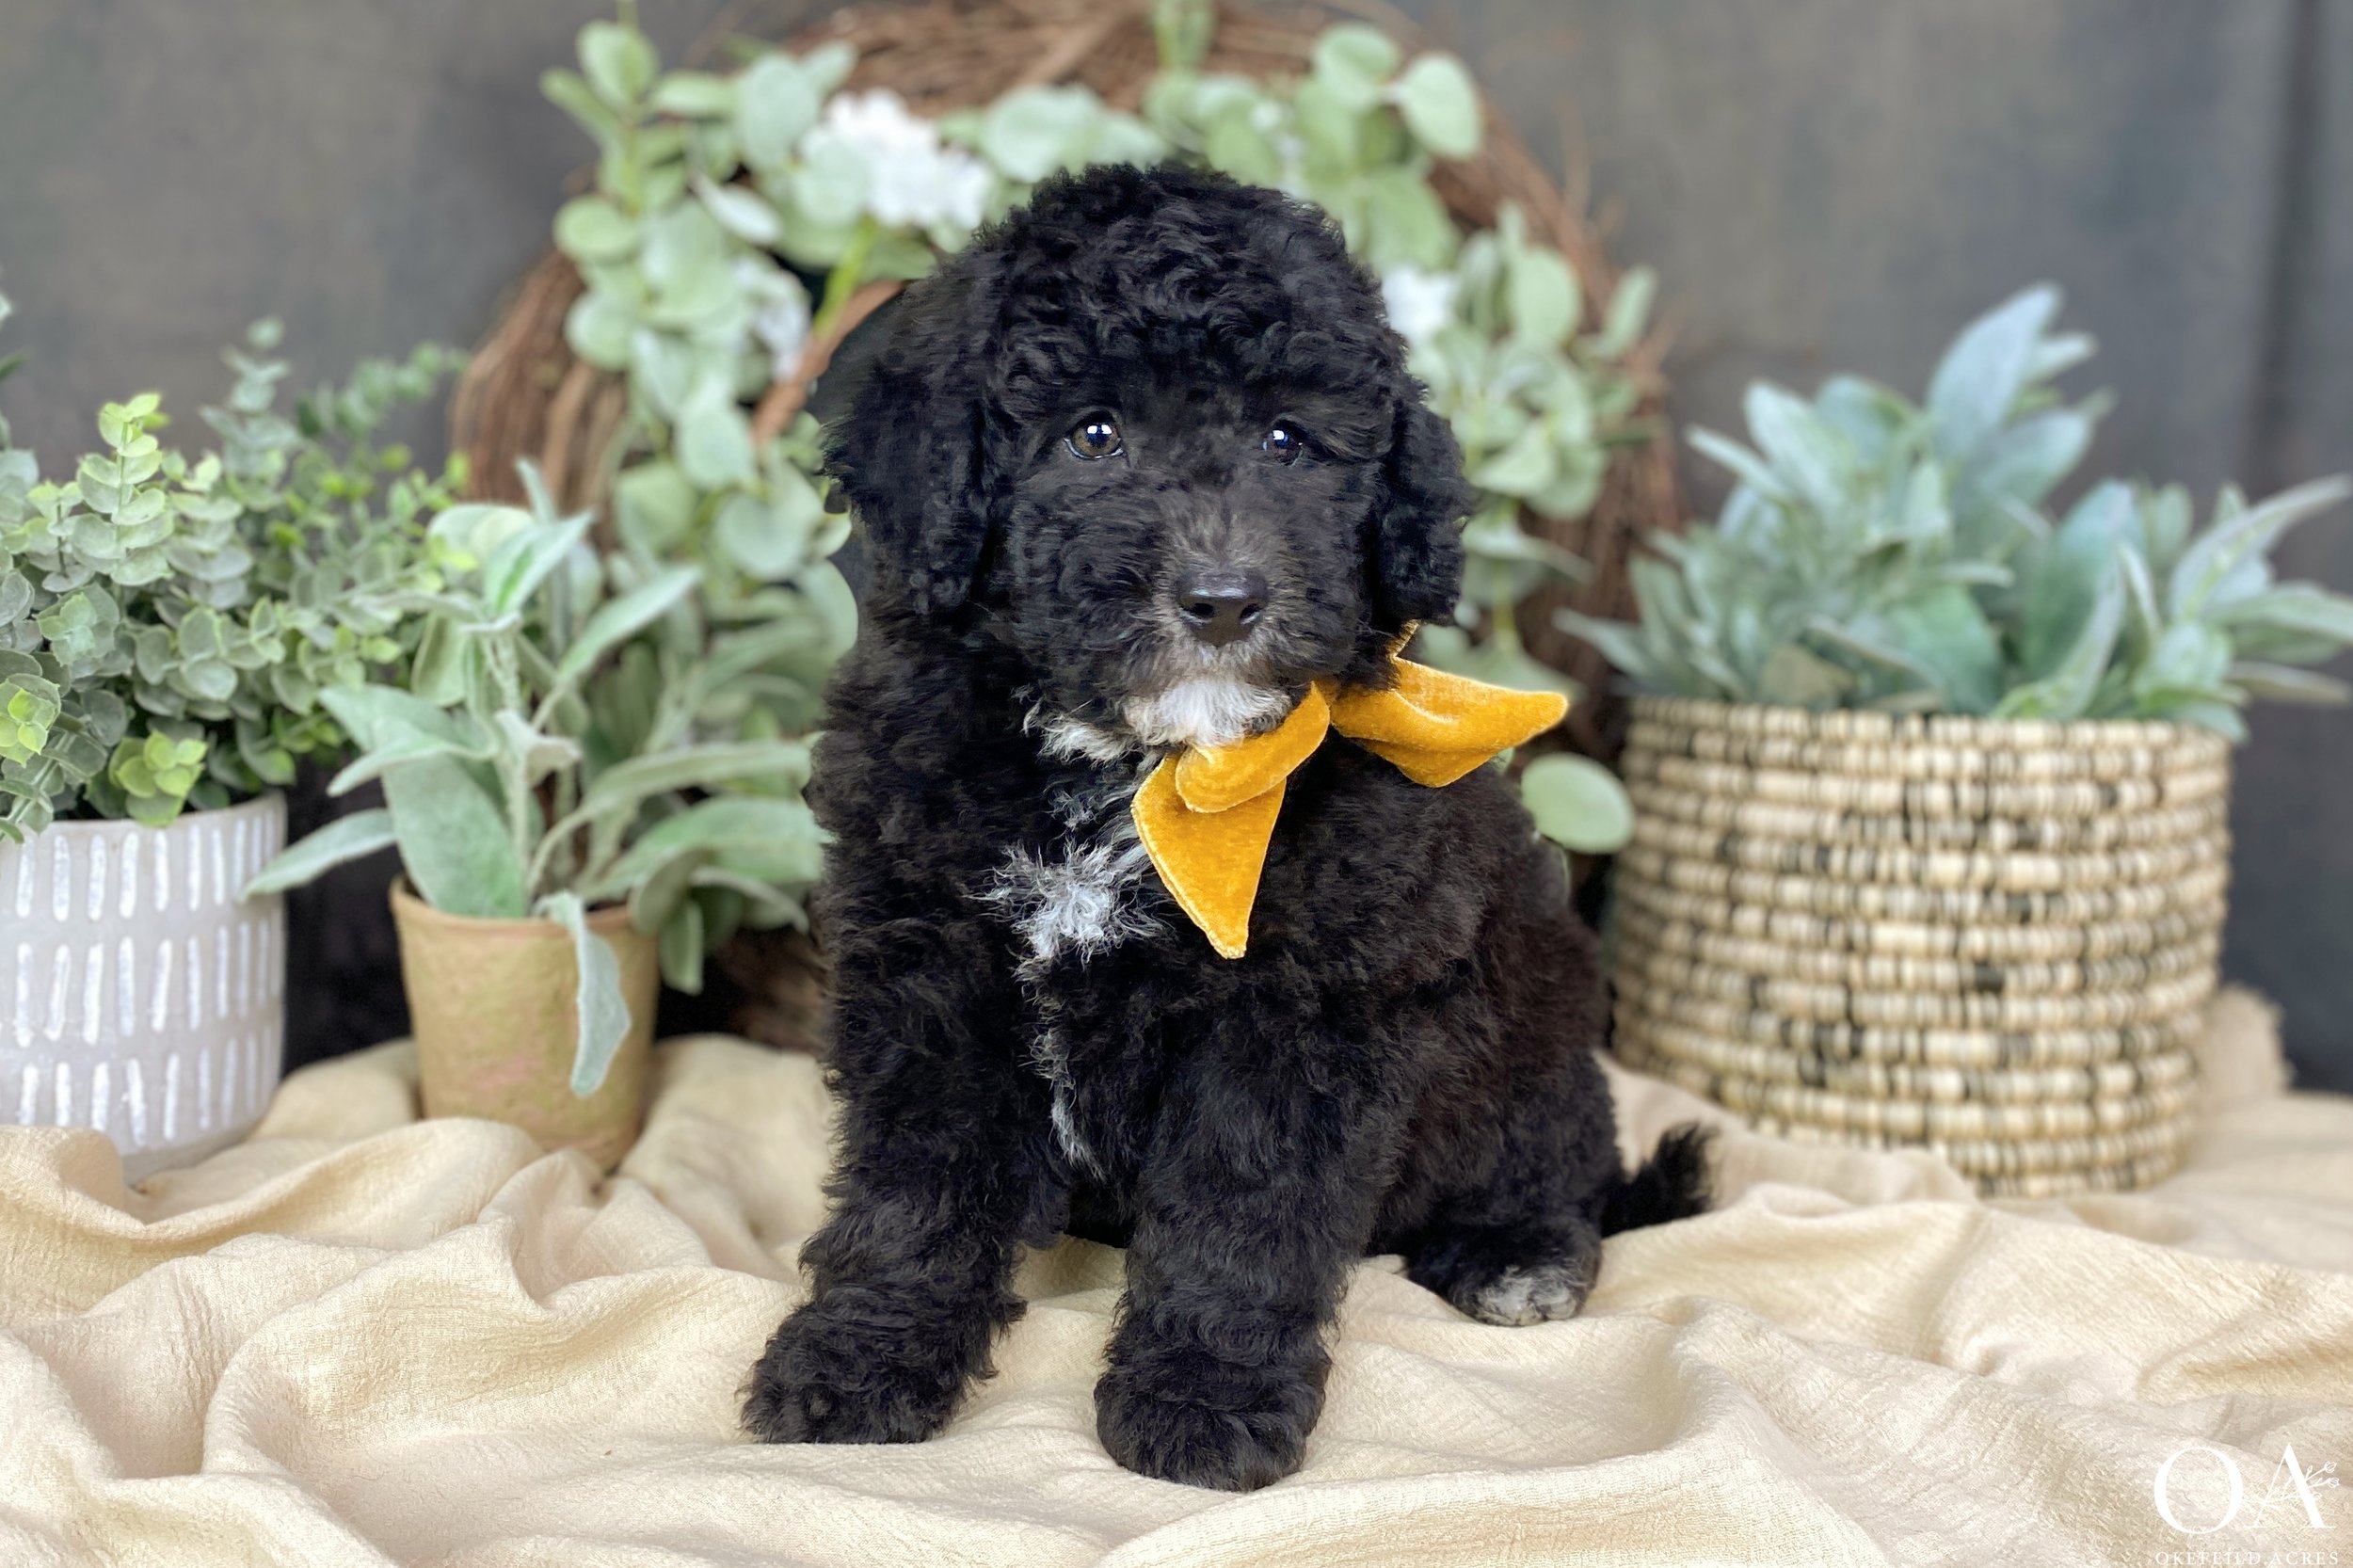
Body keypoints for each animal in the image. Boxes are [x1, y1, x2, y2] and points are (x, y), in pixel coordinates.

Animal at [748, 165, 1713, 1487]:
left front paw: (1204, 1399)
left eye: (1286, 440)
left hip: (1536, 1035)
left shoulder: (1298, 1013)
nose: (1222, 600)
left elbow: (1242, 1211)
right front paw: (858, 1356)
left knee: (1554, 1156)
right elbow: (916, 1185)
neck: (1135, 769)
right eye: (1092, 434)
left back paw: (1519, 1254)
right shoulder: (928, 964)